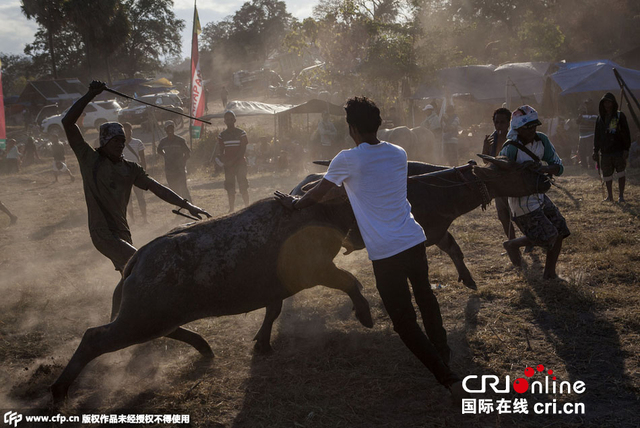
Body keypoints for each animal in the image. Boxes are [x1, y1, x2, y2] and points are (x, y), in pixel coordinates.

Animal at [52, 189, 372, 402]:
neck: (315, 212)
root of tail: (139, 257)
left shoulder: (277, 288)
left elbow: (273, 311)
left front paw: (263, 342)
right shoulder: (318, 271)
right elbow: (350, 282)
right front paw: (365, 314)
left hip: (150, 318)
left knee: (167, 331)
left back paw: (203, 345)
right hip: (138, 322)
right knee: (93, 338)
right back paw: (59, 388)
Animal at [296, 155, 552, 290]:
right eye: (522, 169)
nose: (546, 180)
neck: (436, 188)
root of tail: (300, 189)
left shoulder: (437, 231)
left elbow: (455, 250)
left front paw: (468, 279)